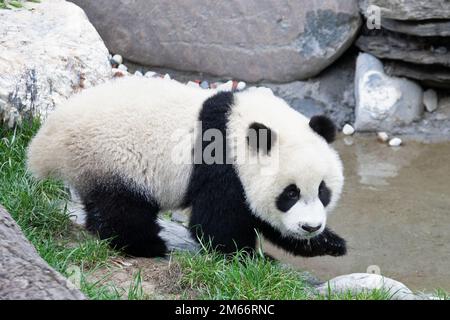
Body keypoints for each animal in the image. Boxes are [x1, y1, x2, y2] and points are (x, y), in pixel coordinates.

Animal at [26, 77, 346, 258]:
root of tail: (44, 144)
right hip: (110, 157)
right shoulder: (222, 165)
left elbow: (262, 219)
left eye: (323, 191)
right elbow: (216, 223)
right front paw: (248, 258)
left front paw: (329, 243)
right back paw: (146, 246)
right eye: (290, 193)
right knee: (122, 208)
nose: (310, 227)